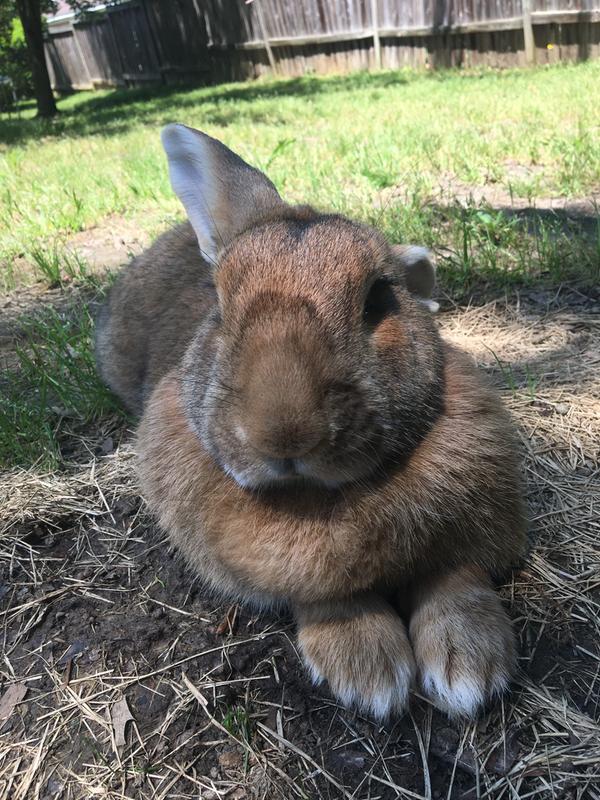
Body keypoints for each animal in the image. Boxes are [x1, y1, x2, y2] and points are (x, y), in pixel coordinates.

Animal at [96, 123, 528, 720]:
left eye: (379, 298)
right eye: (219, 307)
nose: (283, 433)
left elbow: (456, 574)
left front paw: (470, 664)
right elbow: (324, 595)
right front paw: (370, 673)